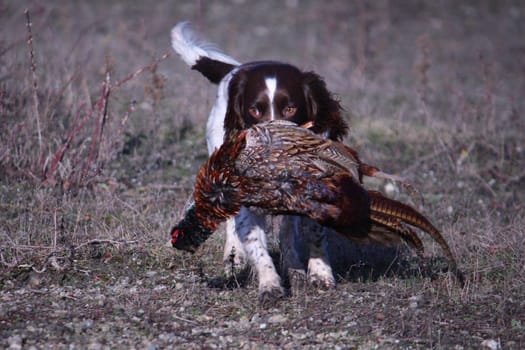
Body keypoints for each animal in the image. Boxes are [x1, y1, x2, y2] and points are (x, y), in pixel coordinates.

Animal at [169, 22, 348, 300]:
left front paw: (319, 274)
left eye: (290, 108)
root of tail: (234, 69)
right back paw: (235, 257)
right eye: (254, 109)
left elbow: (314, 232)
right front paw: (269, 284)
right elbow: (256, 244)